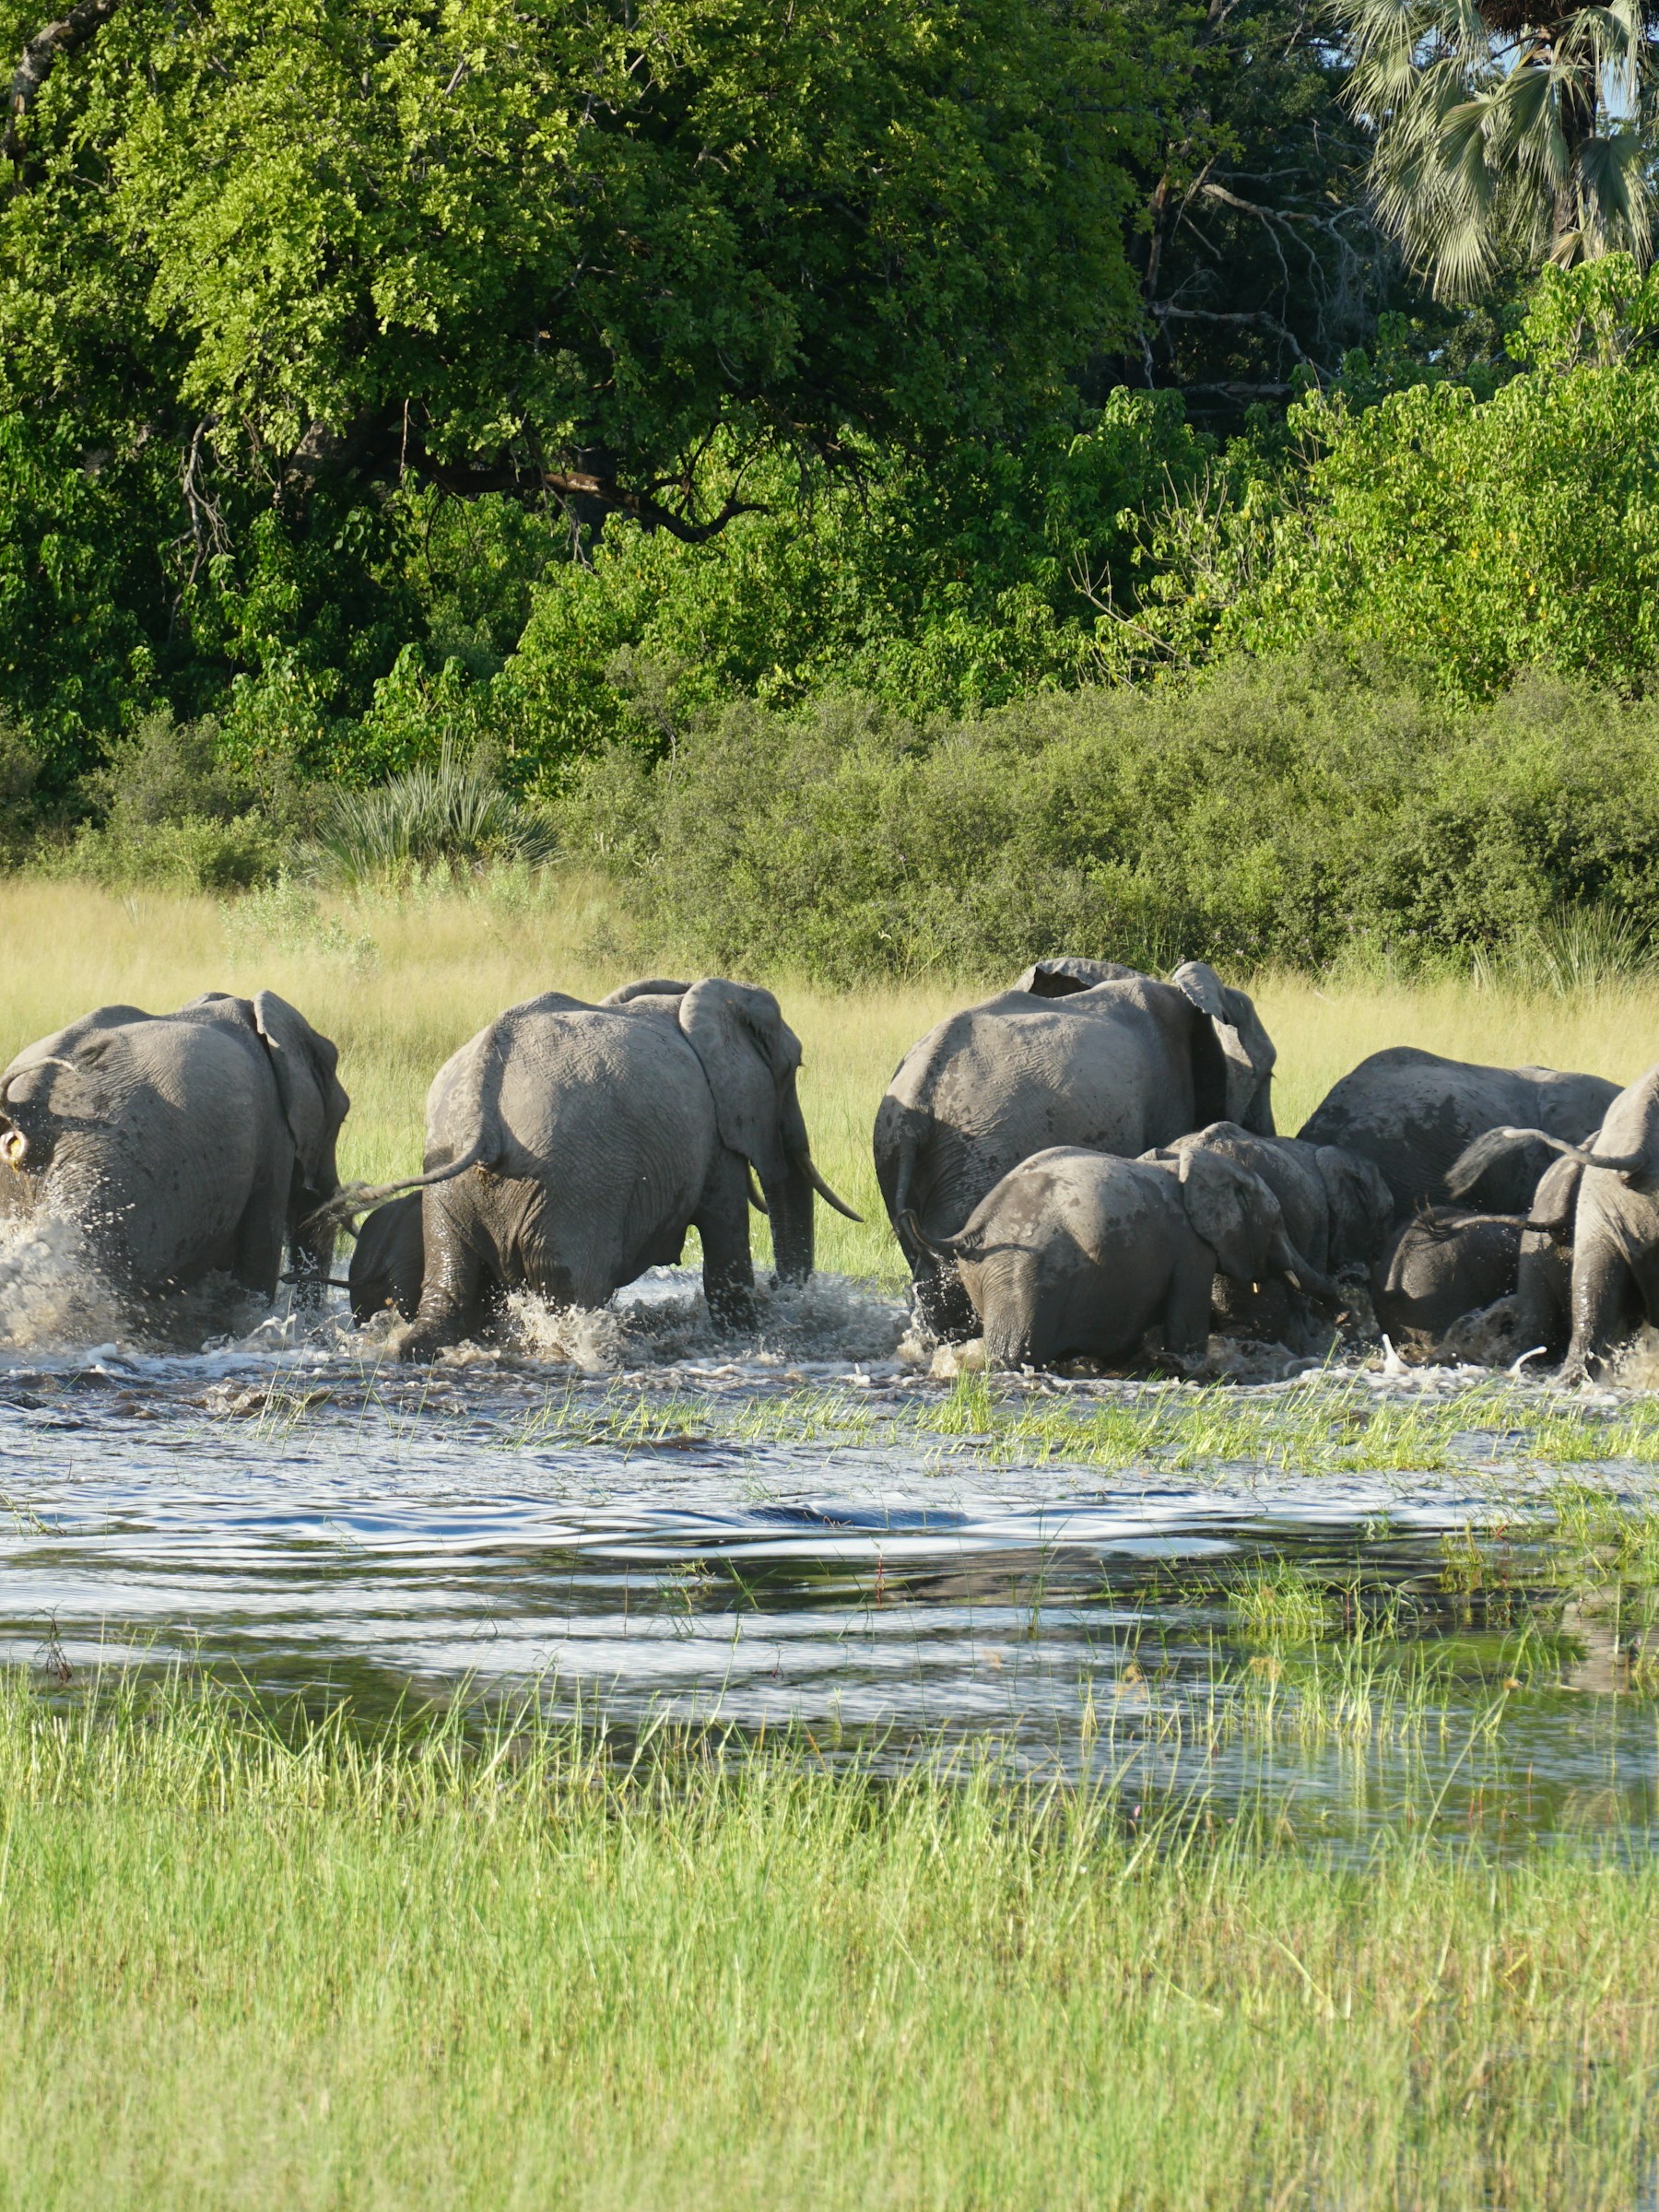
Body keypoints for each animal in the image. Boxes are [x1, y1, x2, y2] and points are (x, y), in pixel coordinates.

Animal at [327, 976, 858, 1362]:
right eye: (792, 1069)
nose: (781, 1289)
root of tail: (482, 1101)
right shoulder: (713, 1137)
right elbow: (724, 1242)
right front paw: (748, 1335)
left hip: (451, 1184)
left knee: (449, 1292)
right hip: (572, 1185)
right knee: (571, 1295)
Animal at [901, 1142, 1330, 1371]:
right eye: (1276, 1222)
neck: (1190, 1161)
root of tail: (975, 1228)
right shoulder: (1191, 1250)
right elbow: (1186, 1331)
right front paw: (1190, 1365)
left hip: (984, 1274)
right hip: (1022, 1273)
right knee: (1014, 1351)